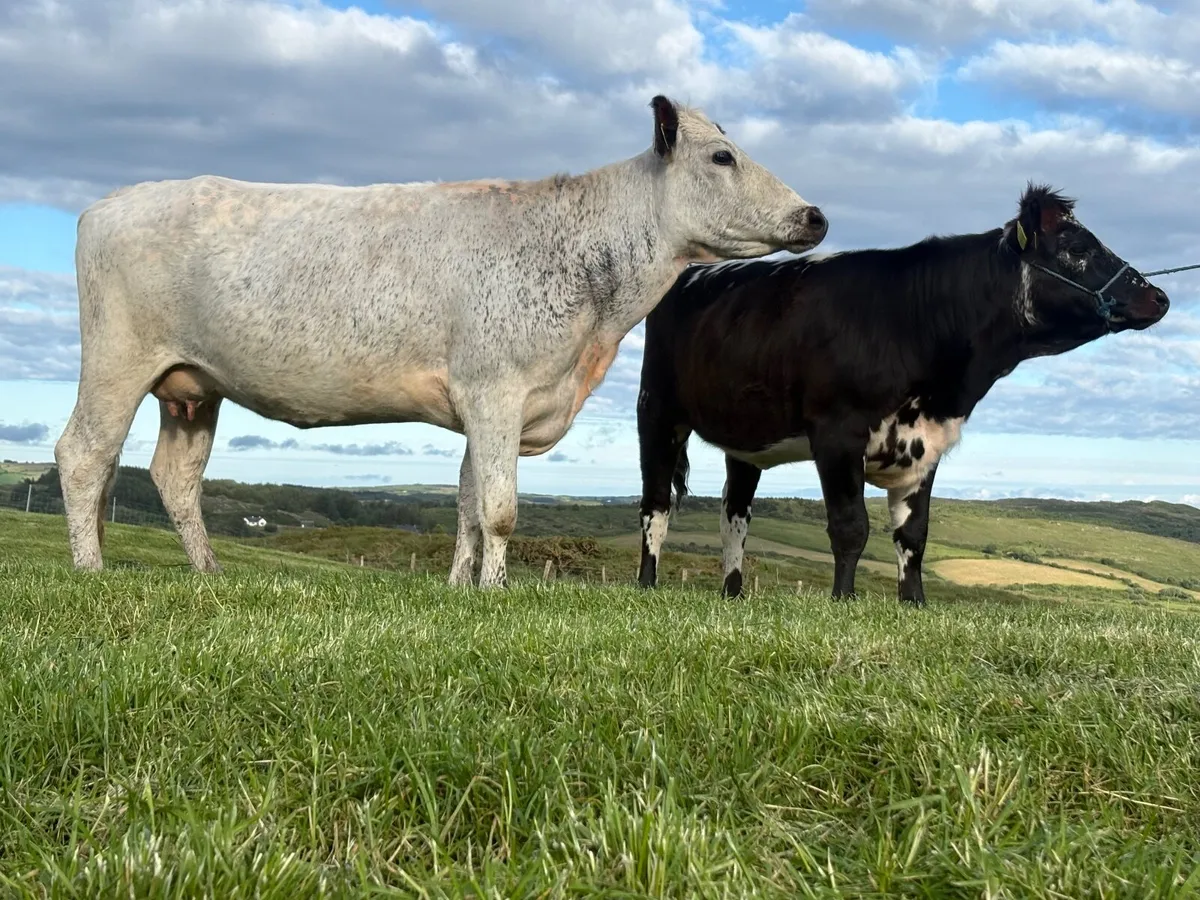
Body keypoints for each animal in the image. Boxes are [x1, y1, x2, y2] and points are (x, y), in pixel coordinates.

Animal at [57, 95, 828, 586]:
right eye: (723, 156)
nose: (815, 215)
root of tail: (110, 202)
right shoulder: (497, 387)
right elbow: (499, 508)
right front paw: (495, 591)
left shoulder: (482, 403)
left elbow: (465, 502)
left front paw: (459, 588)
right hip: (118, 358)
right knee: (84, 454)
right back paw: (90, 568)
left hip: (194, 385)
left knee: (174, 475)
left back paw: (209, 572)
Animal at [634, 184, 1169, 606]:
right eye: (1077, 248)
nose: (1158, 297)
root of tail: (691, 274)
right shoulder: (837, 432)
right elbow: (850, 526)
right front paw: (843, 601)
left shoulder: (925, 445)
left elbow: (913, 536)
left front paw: (914, 603)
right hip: (656, 410)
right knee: (655, 505)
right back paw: (647, 584)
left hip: (746, 440)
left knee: (735, 515)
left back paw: (733, 593)